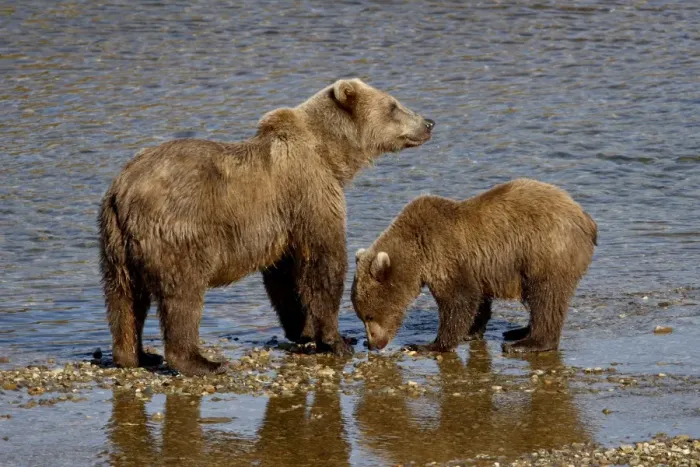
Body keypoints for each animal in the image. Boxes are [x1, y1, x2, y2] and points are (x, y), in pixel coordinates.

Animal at [98, 78, 435, 376]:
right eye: (393, 105)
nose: (429, 122)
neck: (330, 154)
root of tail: (123, 190)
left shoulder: (284, 221)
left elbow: (284, 277)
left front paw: (304, 330)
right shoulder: (310, 192)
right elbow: (323, 262)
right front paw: (337, 340)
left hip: (115, 242)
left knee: (123, 297)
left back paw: (135, 355)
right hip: (179, 231)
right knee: (183, 295)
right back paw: (202, 362)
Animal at [351, 178, 597, 354]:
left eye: (369, 316)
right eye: (362, 316)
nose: (372, 343)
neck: (417, 252)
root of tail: (585, 218)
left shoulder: (445, 255)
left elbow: (459, 301)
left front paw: (428, 345)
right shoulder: (476, 267)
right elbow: (478, 301)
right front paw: (471, 332)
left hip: (546, 251)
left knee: (546, 297)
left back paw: (526, 343)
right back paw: (517, 332)